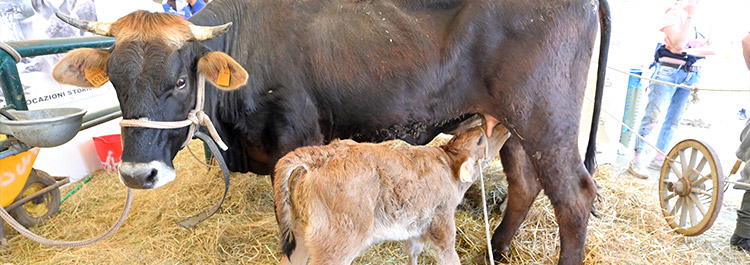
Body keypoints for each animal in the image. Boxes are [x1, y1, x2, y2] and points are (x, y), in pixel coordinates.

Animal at [274, 124, 512, 264]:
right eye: (480, 139)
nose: (504, 125)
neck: (447, 166)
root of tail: (321, 154)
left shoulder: (414, 227)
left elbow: (413, 252)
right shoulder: (443, 225)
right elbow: (449, 257)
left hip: (300, 233)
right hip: (335, 243)